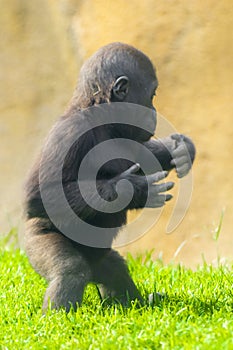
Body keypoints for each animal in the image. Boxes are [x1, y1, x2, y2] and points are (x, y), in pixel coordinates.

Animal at [23, 41, 196, 312]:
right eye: (152, 95)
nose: (155, 111)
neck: (98, 110)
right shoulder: (71, 132)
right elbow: (41, 195)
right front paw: (132, 189)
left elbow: (143, 155)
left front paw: (179, 149)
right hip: (36, 239)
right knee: (71, 270)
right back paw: (58, 318)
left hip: (102, 261)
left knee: (114, 269)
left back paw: (132, 303)